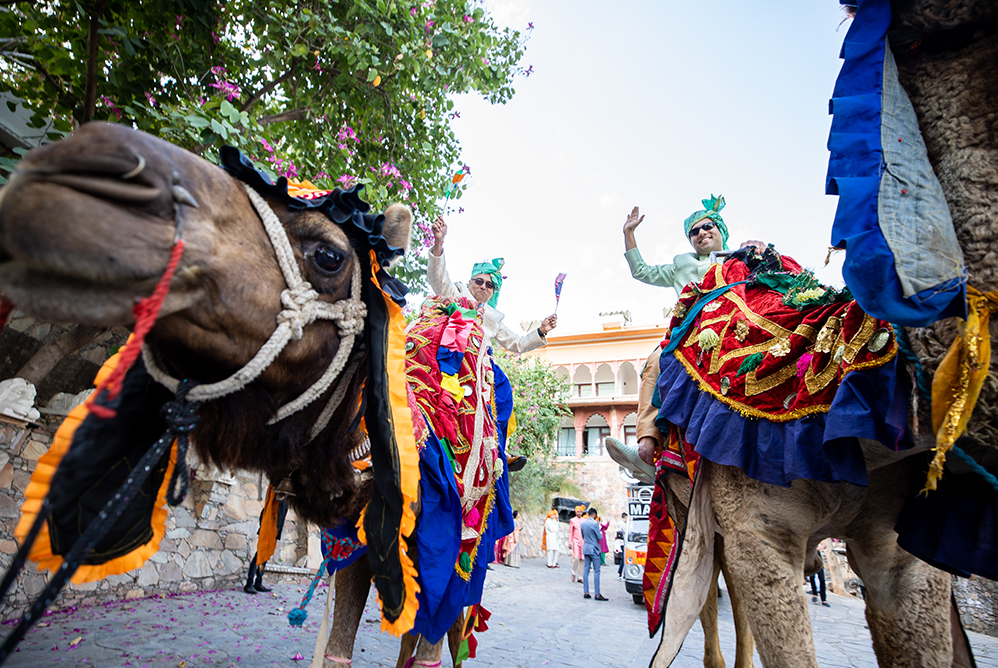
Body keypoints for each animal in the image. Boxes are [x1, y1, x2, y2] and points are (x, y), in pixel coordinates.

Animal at [0, 121, 466, 668]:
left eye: (330, 256)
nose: (82, 160)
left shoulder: (440, 559)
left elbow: (428, 642)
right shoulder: (356, 543)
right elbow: (338, 650)